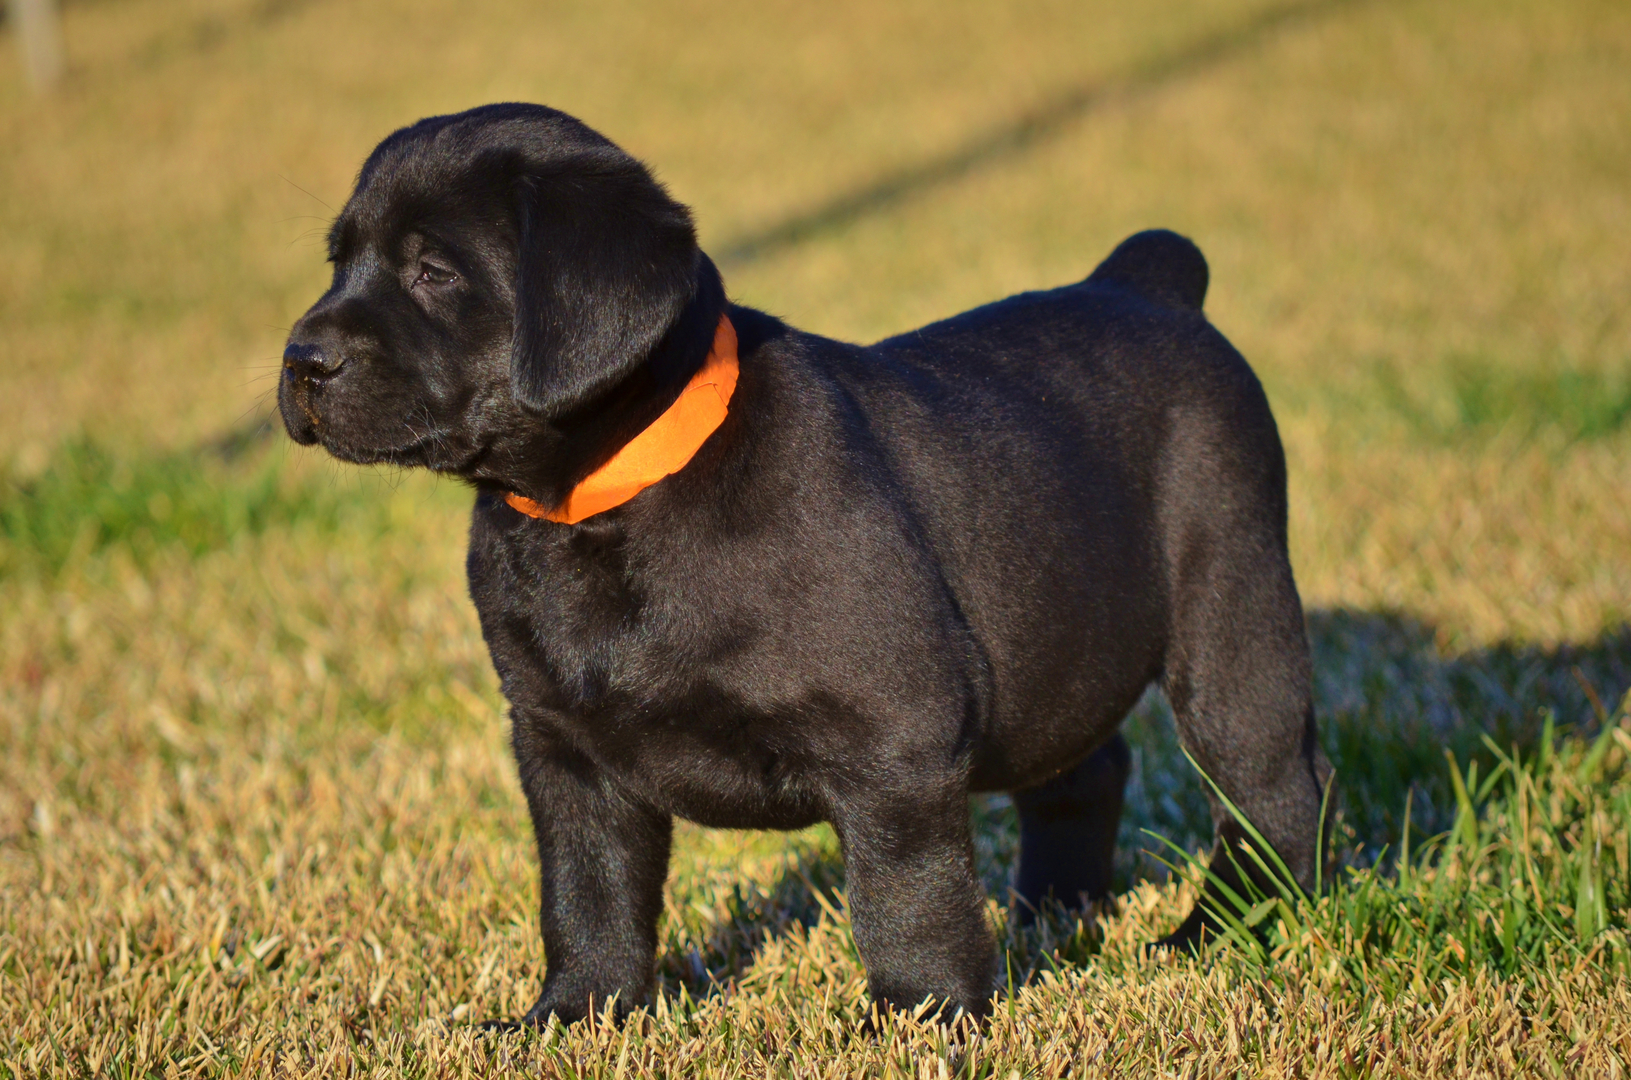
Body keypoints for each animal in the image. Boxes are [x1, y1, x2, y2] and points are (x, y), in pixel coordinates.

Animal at [274, 106, 1330, 1031]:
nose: (300, 360)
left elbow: (906, 900)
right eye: (338, 263)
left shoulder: (895, 742)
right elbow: (586, 897)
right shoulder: (561, 748)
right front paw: (572, 1018)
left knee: (1272, 785)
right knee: (1085, 763)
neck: (608, 499)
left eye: (433, 271)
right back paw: (1053, 916)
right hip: (1062, 628)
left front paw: (925, 1020)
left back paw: (1222, 932)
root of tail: (1147, 283)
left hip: (1231, 607)